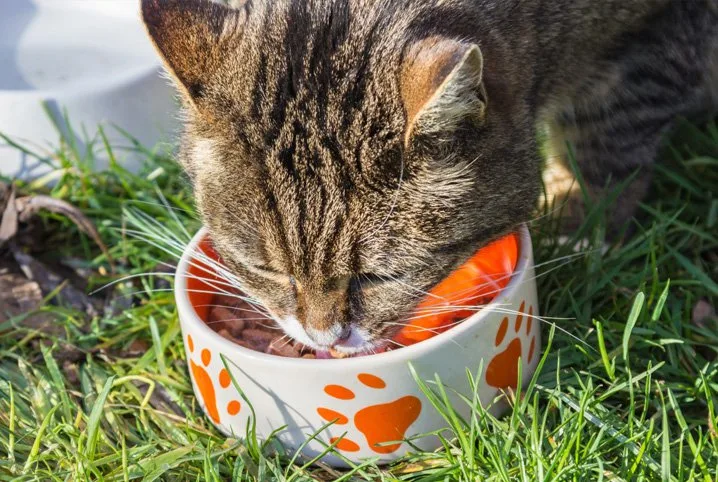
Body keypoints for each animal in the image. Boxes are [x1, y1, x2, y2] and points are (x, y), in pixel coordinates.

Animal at [142, 0, 718, 354]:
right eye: (266, 269)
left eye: (380, 276)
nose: (325, 339)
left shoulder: (652, 40)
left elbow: (607, 145)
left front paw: (580, 224)